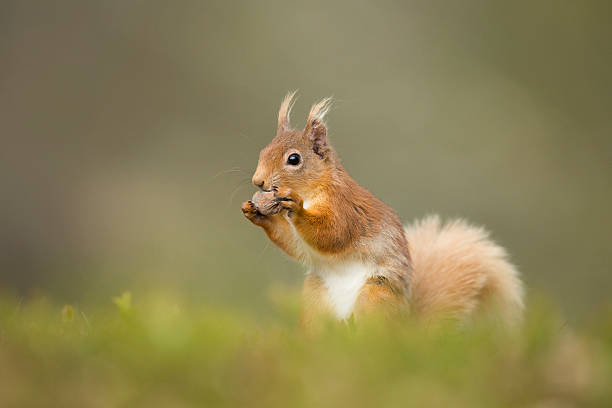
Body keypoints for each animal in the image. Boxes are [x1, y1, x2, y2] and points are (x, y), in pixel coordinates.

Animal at [241, 92, 524, 328]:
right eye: (263, 150)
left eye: (294, 159)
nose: (258, 181)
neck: (314, 189)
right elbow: (294, 243)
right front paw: (253, 211)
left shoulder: (345, 207)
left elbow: (333, 234)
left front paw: (296, 208)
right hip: (315, 297)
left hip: (375, 296)